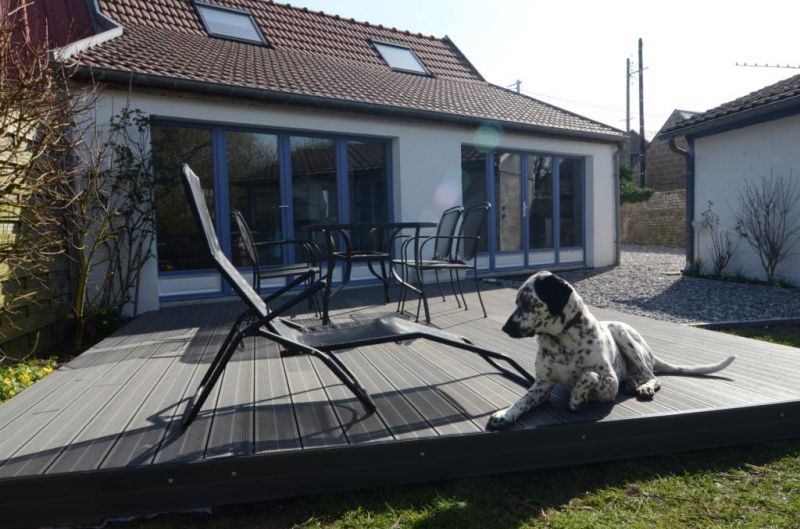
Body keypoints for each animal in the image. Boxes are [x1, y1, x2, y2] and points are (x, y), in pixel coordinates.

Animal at [484, 270, 736, 432]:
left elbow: (589, 375)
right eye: (516, 301)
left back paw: (643, 386)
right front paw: (504, 415)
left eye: (528, 302)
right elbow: (521, 401)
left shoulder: (609, 384)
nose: (505, 328)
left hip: (623, 334)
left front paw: (577, 398)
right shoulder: (542, 386)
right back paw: (633, 383)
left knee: (652, 376)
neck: (561, 340)